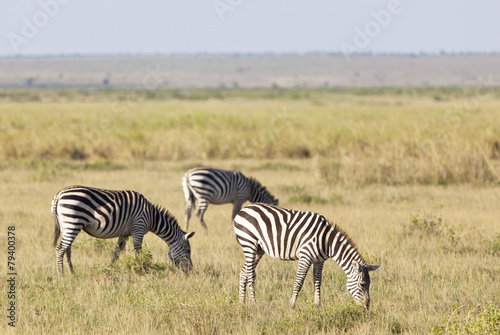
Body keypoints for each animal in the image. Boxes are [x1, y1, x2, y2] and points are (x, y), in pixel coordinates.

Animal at [51, 186, 195, 276]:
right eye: (188, 250)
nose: (191, 271)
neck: (151, 217)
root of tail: (59, 194)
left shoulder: (124, 234)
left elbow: (117, 253)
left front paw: (110, 270)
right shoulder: (138, 229)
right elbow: (138, 252)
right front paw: (141, 270)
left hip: (67, 226)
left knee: (67, 249)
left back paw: (72, 273)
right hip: (73, 222)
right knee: (61, 248)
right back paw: (60, 274)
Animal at [233, 202, 378, 310]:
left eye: (369, 284)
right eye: (362, 284)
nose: (367, 307)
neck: (327, 241)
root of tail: (244, 209)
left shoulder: (319, 261)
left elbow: (317, 281)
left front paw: (317, 305)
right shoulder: (305, 256)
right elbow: (299, 281)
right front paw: (292, 305)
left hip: (258, 249)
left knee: (244, 272)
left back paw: (241, 303)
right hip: (249, 242)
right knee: (250, 273)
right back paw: (254, 303)